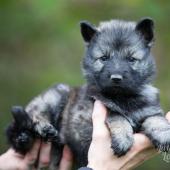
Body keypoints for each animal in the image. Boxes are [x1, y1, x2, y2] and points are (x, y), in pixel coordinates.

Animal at [5, 17, 170, 169]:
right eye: (104, 58)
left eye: (131, 59)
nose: (116, 78)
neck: (122, 97)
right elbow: (116, 115)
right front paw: (123, 138)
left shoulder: (149, 110)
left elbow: (157, 119)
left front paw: (164, 135)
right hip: (56, 94)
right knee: (34, 114)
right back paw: (42, 128)